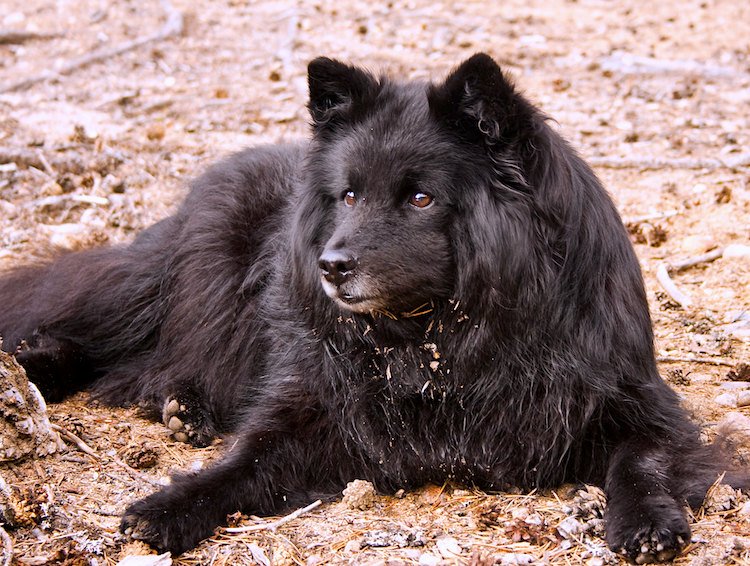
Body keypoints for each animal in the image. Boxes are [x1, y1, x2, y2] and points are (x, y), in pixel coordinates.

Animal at [0, 55, 744, 560]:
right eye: (350, 195)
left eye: (420, 198)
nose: (330, 266)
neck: (438, 337)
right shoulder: (314, 408)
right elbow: (240, 463)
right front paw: (170, 505)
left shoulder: (636, 402)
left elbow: (641, 459)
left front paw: (647, 520)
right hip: (171, 279)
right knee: (99, 330)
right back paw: (40, 374)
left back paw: (180, 405)